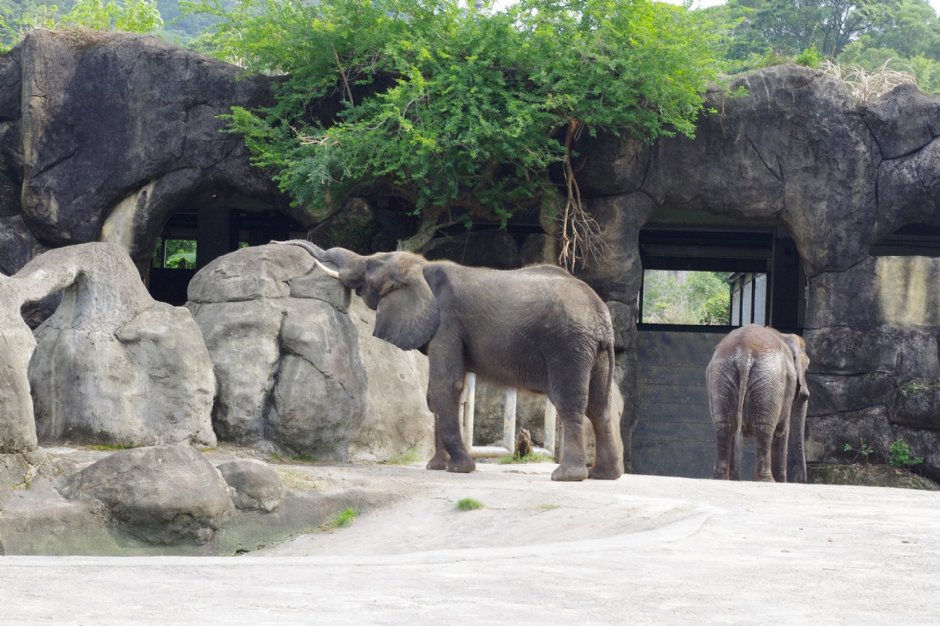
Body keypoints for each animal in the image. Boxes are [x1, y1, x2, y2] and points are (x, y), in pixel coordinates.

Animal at [276, 239, 623, 482]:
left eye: (370, 267)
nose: (277, 242)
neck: (422, 269)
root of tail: (600, 312)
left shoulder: (448, 323)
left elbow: (445, 387)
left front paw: (459, 469)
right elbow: (441, 394)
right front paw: (436, 467)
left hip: (569, 345)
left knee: (571, 403)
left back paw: (567, 477)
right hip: (596, 351)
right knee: (600, 407)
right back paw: (604, 476)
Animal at [705, 324, 809, 483]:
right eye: (807, 367)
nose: (802, 480)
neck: (785, 335)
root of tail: (744, 351)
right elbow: (782, 431)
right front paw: (782, 482)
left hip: (721, 375)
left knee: (724, 426)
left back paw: (721, 479)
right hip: (768, 379)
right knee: (764, 429)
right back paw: (767, 481)